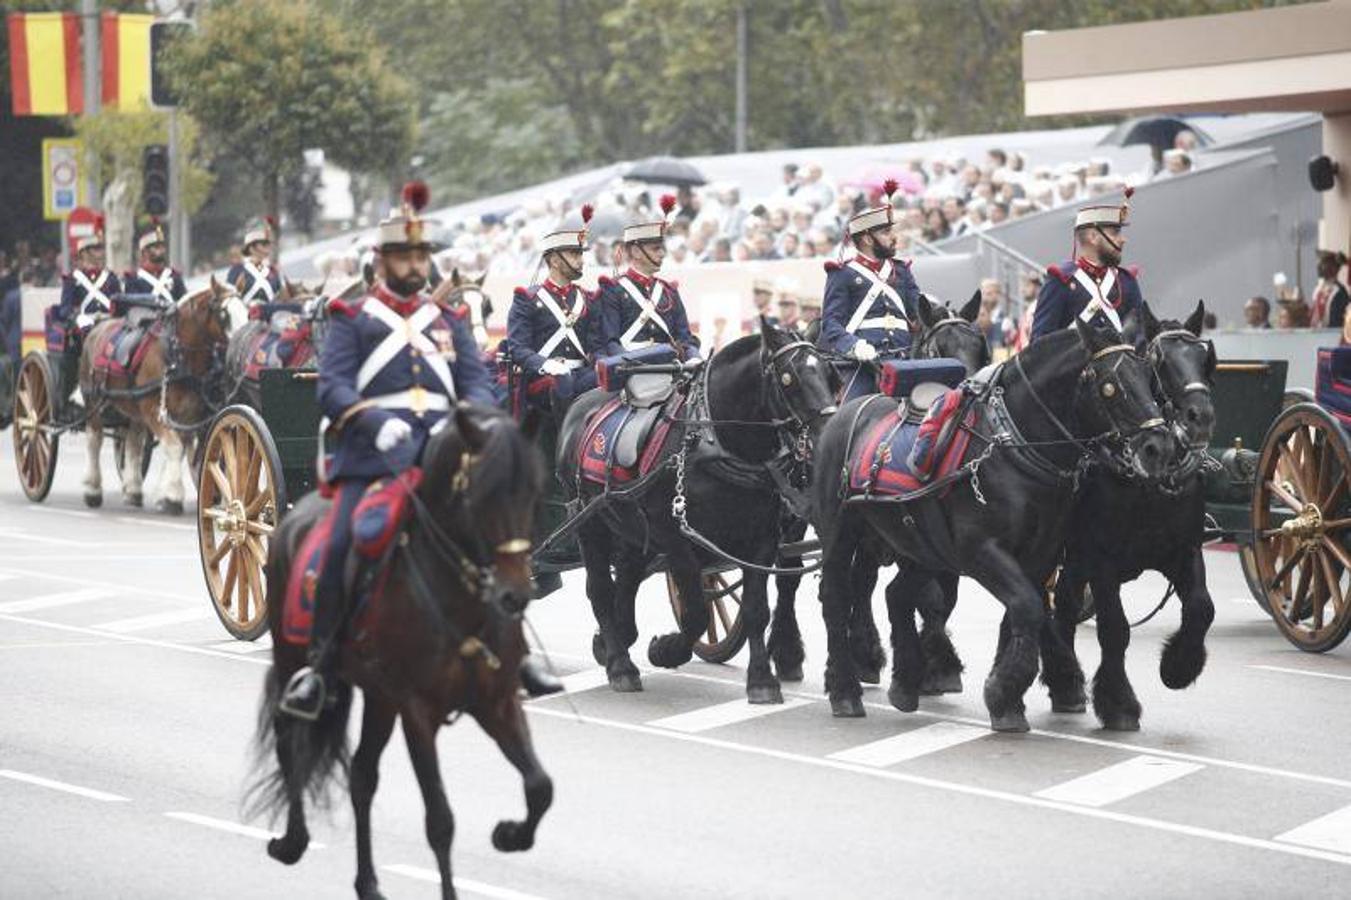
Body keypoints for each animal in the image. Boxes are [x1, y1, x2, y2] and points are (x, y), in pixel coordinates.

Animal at [253, 405, 548, 897]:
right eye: (481, 493)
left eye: (532, 491)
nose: (515, 595)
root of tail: (297, 512)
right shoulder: (418, 711)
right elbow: (441, 821)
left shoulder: (497, 702)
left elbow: (540, 786)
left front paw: (510, 835)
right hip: (293, 658)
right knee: (290, 737)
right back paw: (293, 841)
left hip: (379, 697)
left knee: (360, 776)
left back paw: (368, 882)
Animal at [556, 322, 832, 702]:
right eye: (789, 378)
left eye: (829, 372)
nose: (828, 435)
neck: (716, 440)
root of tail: (582, 404)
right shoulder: (675, 539)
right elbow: (697, 613)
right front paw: (665, 649)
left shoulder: (762, 537)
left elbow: (756, 608)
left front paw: (762, 679)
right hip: (589, 521)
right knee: (599, 588)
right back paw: (620, 665)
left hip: (630, 527)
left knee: (626, 577)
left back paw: (616, 640)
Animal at [767, 290, 988, 683]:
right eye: (939, 350)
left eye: (980, 349)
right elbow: (916, 593)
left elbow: (939, 595)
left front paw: (935, 662)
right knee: (789, 575)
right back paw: (790, 652)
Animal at [810, 318, 1172, 724]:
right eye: (1110, 385)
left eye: (1149, 377)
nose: (1159, 448)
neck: (1013, 446)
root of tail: (846, 412)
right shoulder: (981, 551)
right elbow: (1027, 606)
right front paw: (1006, 689)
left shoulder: (1040, 555)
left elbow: (1021, 611)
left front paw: (1007, 696)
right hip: (841, 535)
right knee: (837, 597)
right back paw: (845, 690)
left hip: (922, 547)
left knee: (897, 595)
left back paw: (905, 681)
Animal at [1042, 302, 1226, 729]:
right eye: (1160, 363)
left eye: (1205, 358)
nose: (1200, 417)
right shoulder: (1101, 560)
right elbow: (1115, 628)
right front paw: (1118, 702)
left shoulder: (1185, 551)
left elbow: (1201, 608)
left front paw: (1178, 667)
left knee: (1065, 603)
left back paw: (1066, 684)